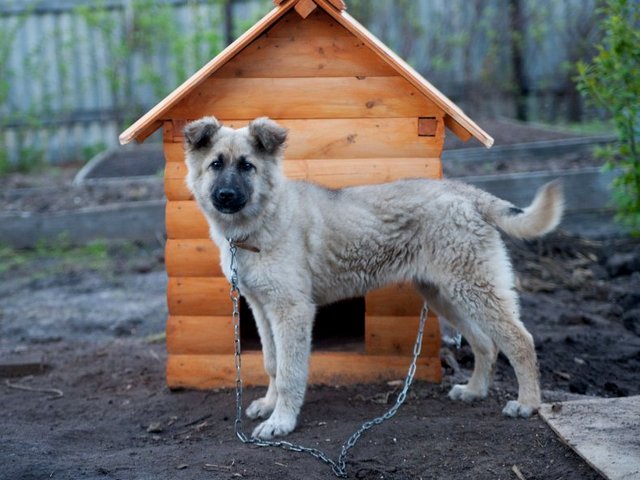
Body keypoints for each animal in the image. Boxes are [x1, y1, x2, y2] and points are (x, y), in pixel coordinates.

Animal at [182, 115, 564, 438]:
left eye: (247, 166)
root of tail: (466, 193)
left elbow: (290, 371)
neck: (259, 222)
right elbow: (272, 363)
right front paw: (270, 405)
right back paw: (474, 391)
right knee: (486, 342)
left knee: (519, 340)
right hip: (446, 294)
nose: (226, 196)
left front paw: (282, 422)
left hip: (473, 288)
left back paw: (527, 404)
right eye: (215, 165)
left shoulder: (292, 311)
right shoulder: (262, 309)